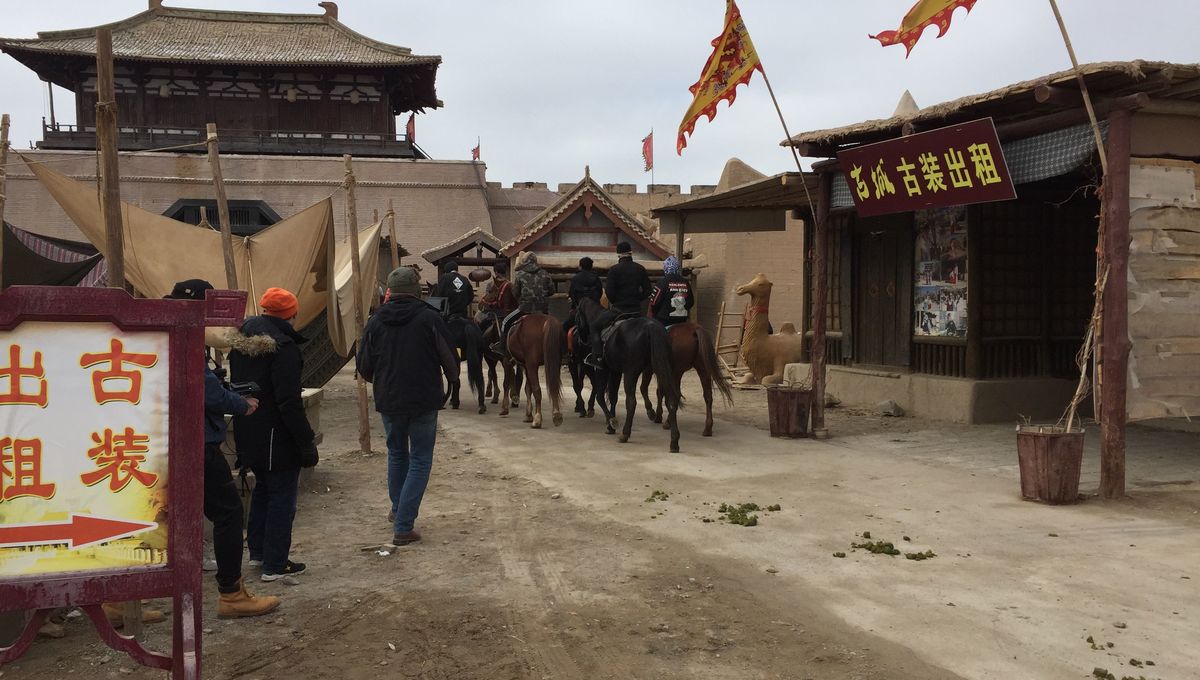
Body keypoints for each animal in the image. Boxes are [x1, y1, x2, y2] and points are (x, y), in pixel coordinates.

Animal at [604, 316, 681, 455]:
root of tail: (651, 326)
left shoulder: (614, 371)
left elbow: (613, 396)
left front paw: (611, 425)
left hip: (631, 372)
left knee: (631, 402)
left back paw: (625, 434)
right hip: (663, 369)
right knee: (671, 400)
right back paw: (674, 442)